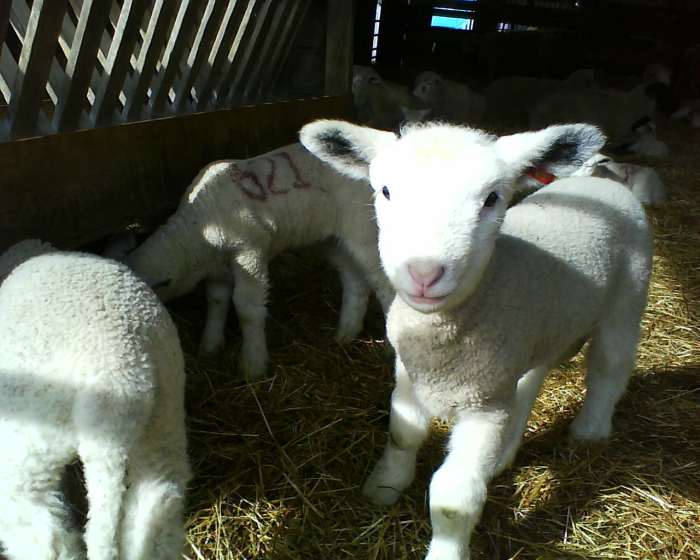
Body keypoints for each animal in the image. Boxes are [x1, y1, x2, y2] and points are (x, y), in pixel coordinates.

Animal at [124, 143, 394, 380]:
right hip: (335, 239)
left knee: (383, 284)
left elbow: (247, 308)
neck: (197, 229)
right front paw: (210, 346)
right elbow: (216, 301)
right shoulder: (218, 267)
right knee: (354, 280)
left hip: (364, 230)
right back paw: (346, 332)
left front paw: (253, 365)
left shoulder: (250, 252)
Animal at [301, 119, 652, 560]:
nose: (424, 273)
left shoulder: (483, 409)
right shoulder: (410, 375)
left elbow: (452, 500)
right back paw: (504, 455)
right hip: (539, 330)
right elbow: (403, 435)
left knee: (610, 366)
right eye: (385, 191)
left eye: (491, 198)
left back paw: (590, 431)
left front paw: (446, 550)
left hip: (629, 295)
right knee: (532, 379)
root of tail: (600, 183)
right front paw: (384, 487)